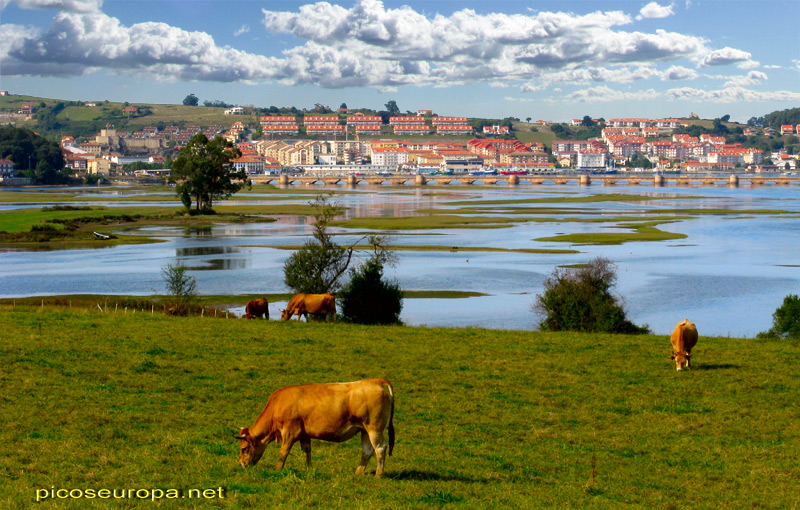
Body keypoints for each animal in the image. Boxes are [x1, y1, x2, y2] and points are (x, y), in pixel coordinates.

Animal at [233, 376, 396, 476]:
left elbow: (283, 452)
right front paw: (309, 469)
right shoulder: (304, 434)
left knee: (380, 448)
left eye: (244, 449)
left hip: (374, 429)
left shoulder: (290, 432)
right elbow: (306, 452)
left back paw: (379, 474)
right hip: (365, 430)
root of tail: (374, 381)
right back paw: (358, 473)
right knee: (367, 450)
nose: (242, 464)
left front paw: (277, 469)